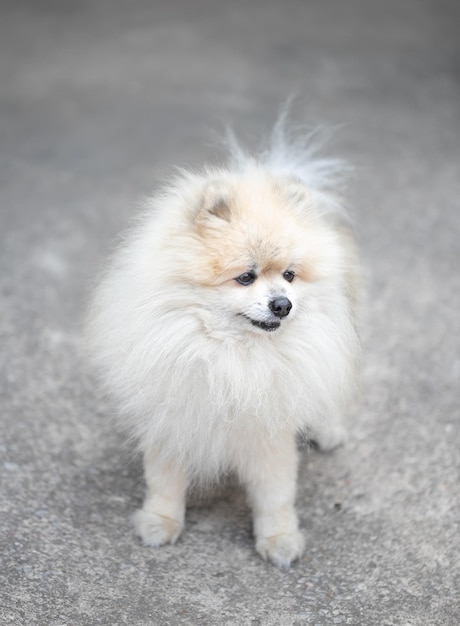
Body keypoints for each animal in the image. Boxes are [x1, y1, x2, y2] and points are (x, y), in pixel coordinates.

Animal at [85, 114, 360, 568]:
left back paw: (328, 430)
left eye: (289, 275)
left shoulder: (269, 431)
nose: (283, 304)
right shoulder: (174, 414)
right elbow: (164, 480)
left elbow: (275, 493)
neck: (230, 354)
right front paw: (160, 522)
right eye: (245, 277)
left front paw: (279, 539)